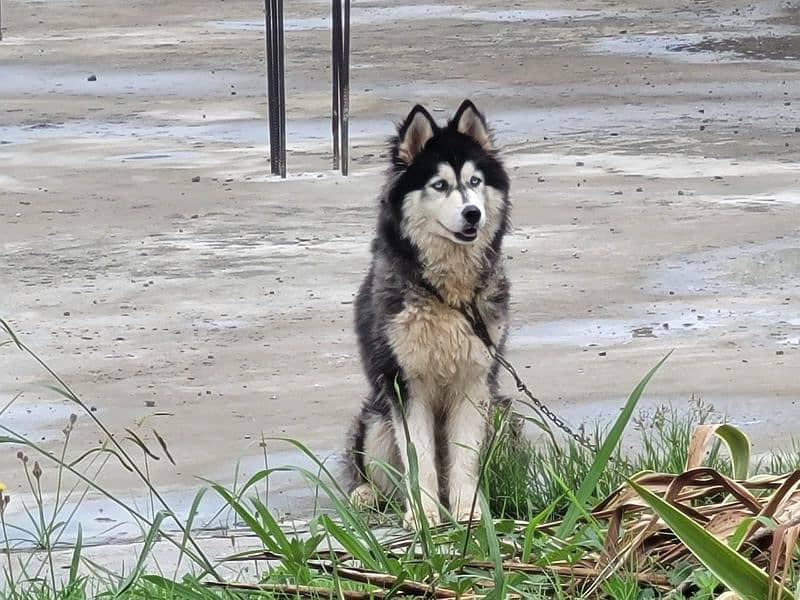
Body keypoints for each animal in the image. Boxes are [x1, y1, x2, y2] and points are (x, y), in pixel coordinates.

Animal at [346, 99, 510, 528]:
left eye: (475, 181)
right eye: (439, 185)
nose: (472, 214)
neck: (447, 295)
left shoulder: (475, 381)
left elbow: (464, 459)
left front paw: (468, 512)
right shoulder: (405, 385)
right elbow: (418, 459)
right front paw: (423, 517)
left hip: (500, 414)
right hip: (376, 418)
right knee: (375, 475)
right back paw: (366, 495)